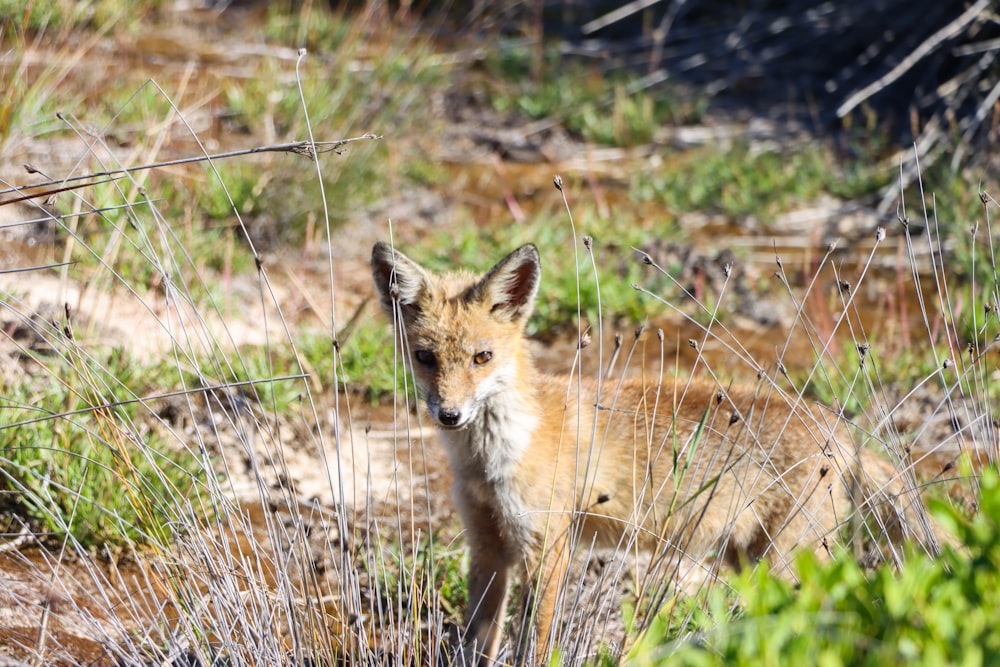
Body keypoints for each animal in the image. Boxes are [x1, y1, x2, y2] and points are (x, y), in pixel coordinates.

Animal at [370, 243, 936, 667]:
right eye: (425, 358)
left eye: (481, 357)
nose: (449, 414)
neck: (492, 460)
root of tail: (842, 430)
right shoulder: (487, 546)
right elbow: (475, 642)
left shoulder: (547, 546)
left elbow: (536, 640)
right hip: (747, 562)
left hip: (787, 564)